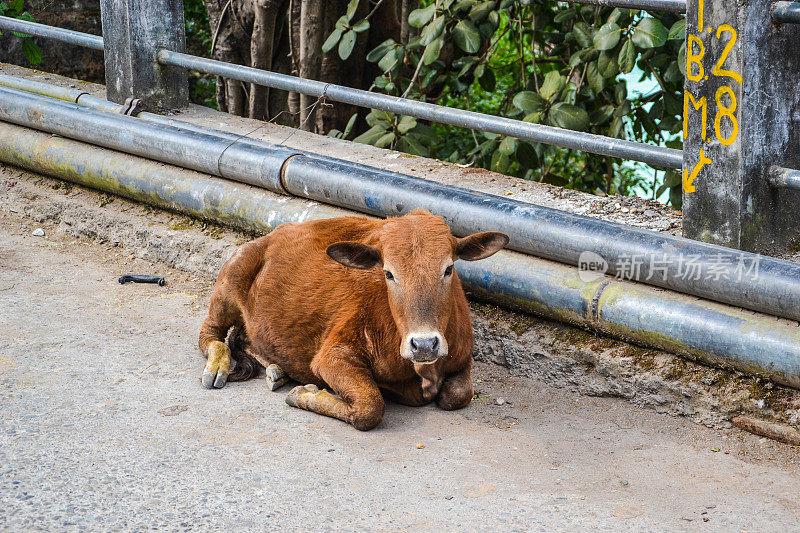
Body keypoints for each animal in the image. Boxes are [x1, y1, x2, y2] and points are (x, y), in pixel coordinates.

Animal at [198, 210, 506, 430]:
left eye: (448, 268)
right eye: (388, 272)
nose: (424, 345)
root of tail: (274, 232)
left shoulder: (463, 359)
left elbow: (458, 394)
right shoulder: (332, 354)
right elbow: (369, 408)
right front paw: (306, 394)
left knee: (244, 338)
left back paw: (277, 370)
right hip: (232, 275)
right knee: (210, 334)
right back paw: (218, 366)